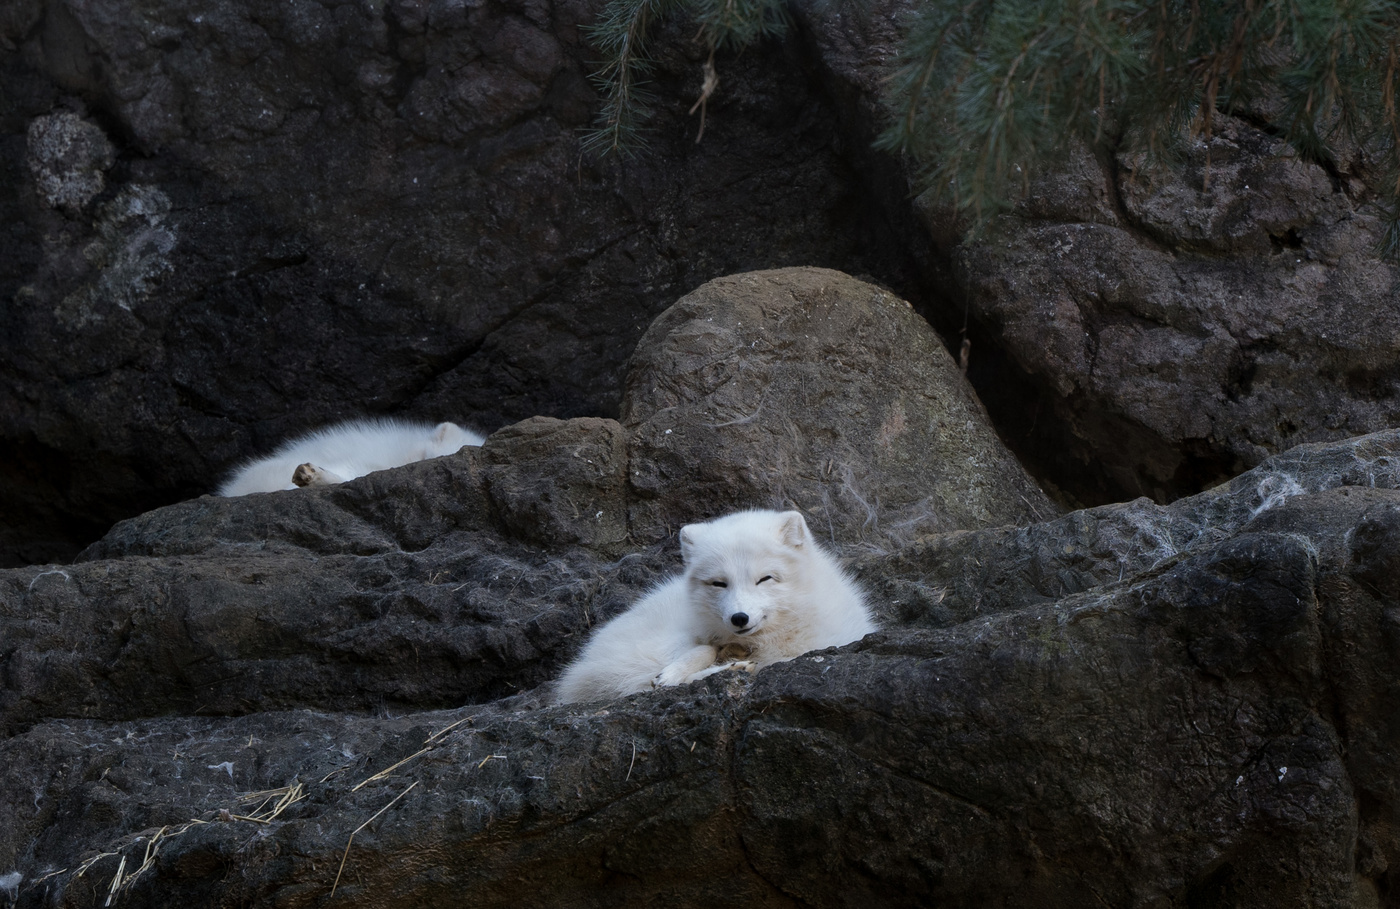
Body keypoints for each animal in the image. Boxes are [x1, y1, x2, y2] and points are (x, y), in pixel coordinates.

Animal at [553, 509, 877, 704]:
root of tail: (583, 665)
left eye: (764, 579)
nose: (739, 618)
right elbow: (703, 651)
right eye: (719, 583)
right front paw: (681, 672)